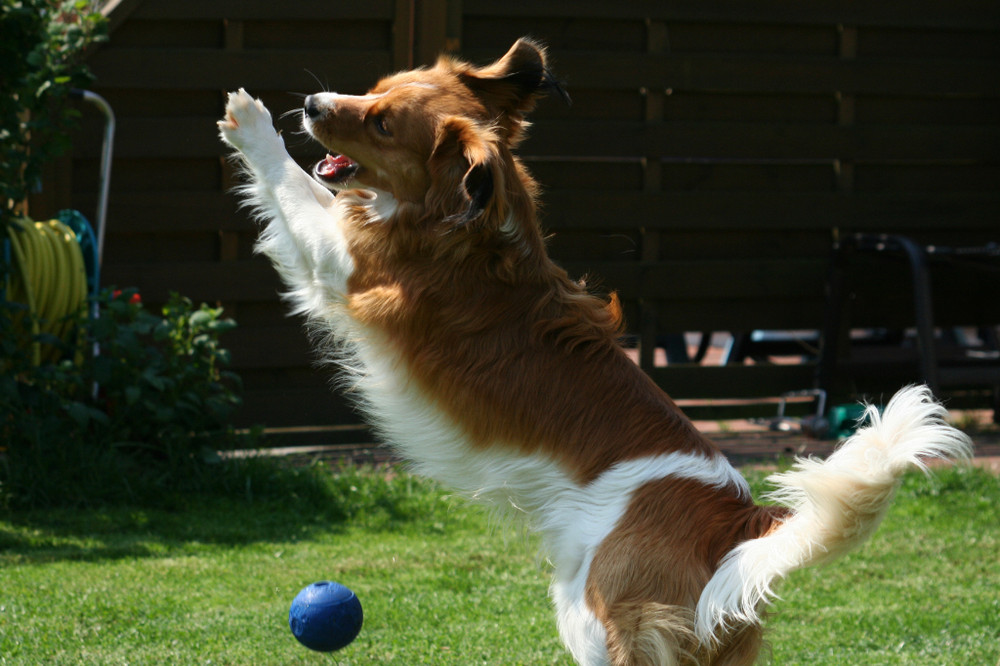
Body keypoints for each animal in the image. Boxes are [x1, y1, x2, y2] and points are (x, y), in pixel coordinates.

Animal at [217, 39, 968, 660]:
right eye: (370, 90)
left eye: (382, 123)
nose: (312, 104)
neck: (462, 222)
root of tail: (738, 524)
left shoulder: (344, 264)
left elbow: (293, 186)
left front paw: (249, 121)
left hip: (594, 615)